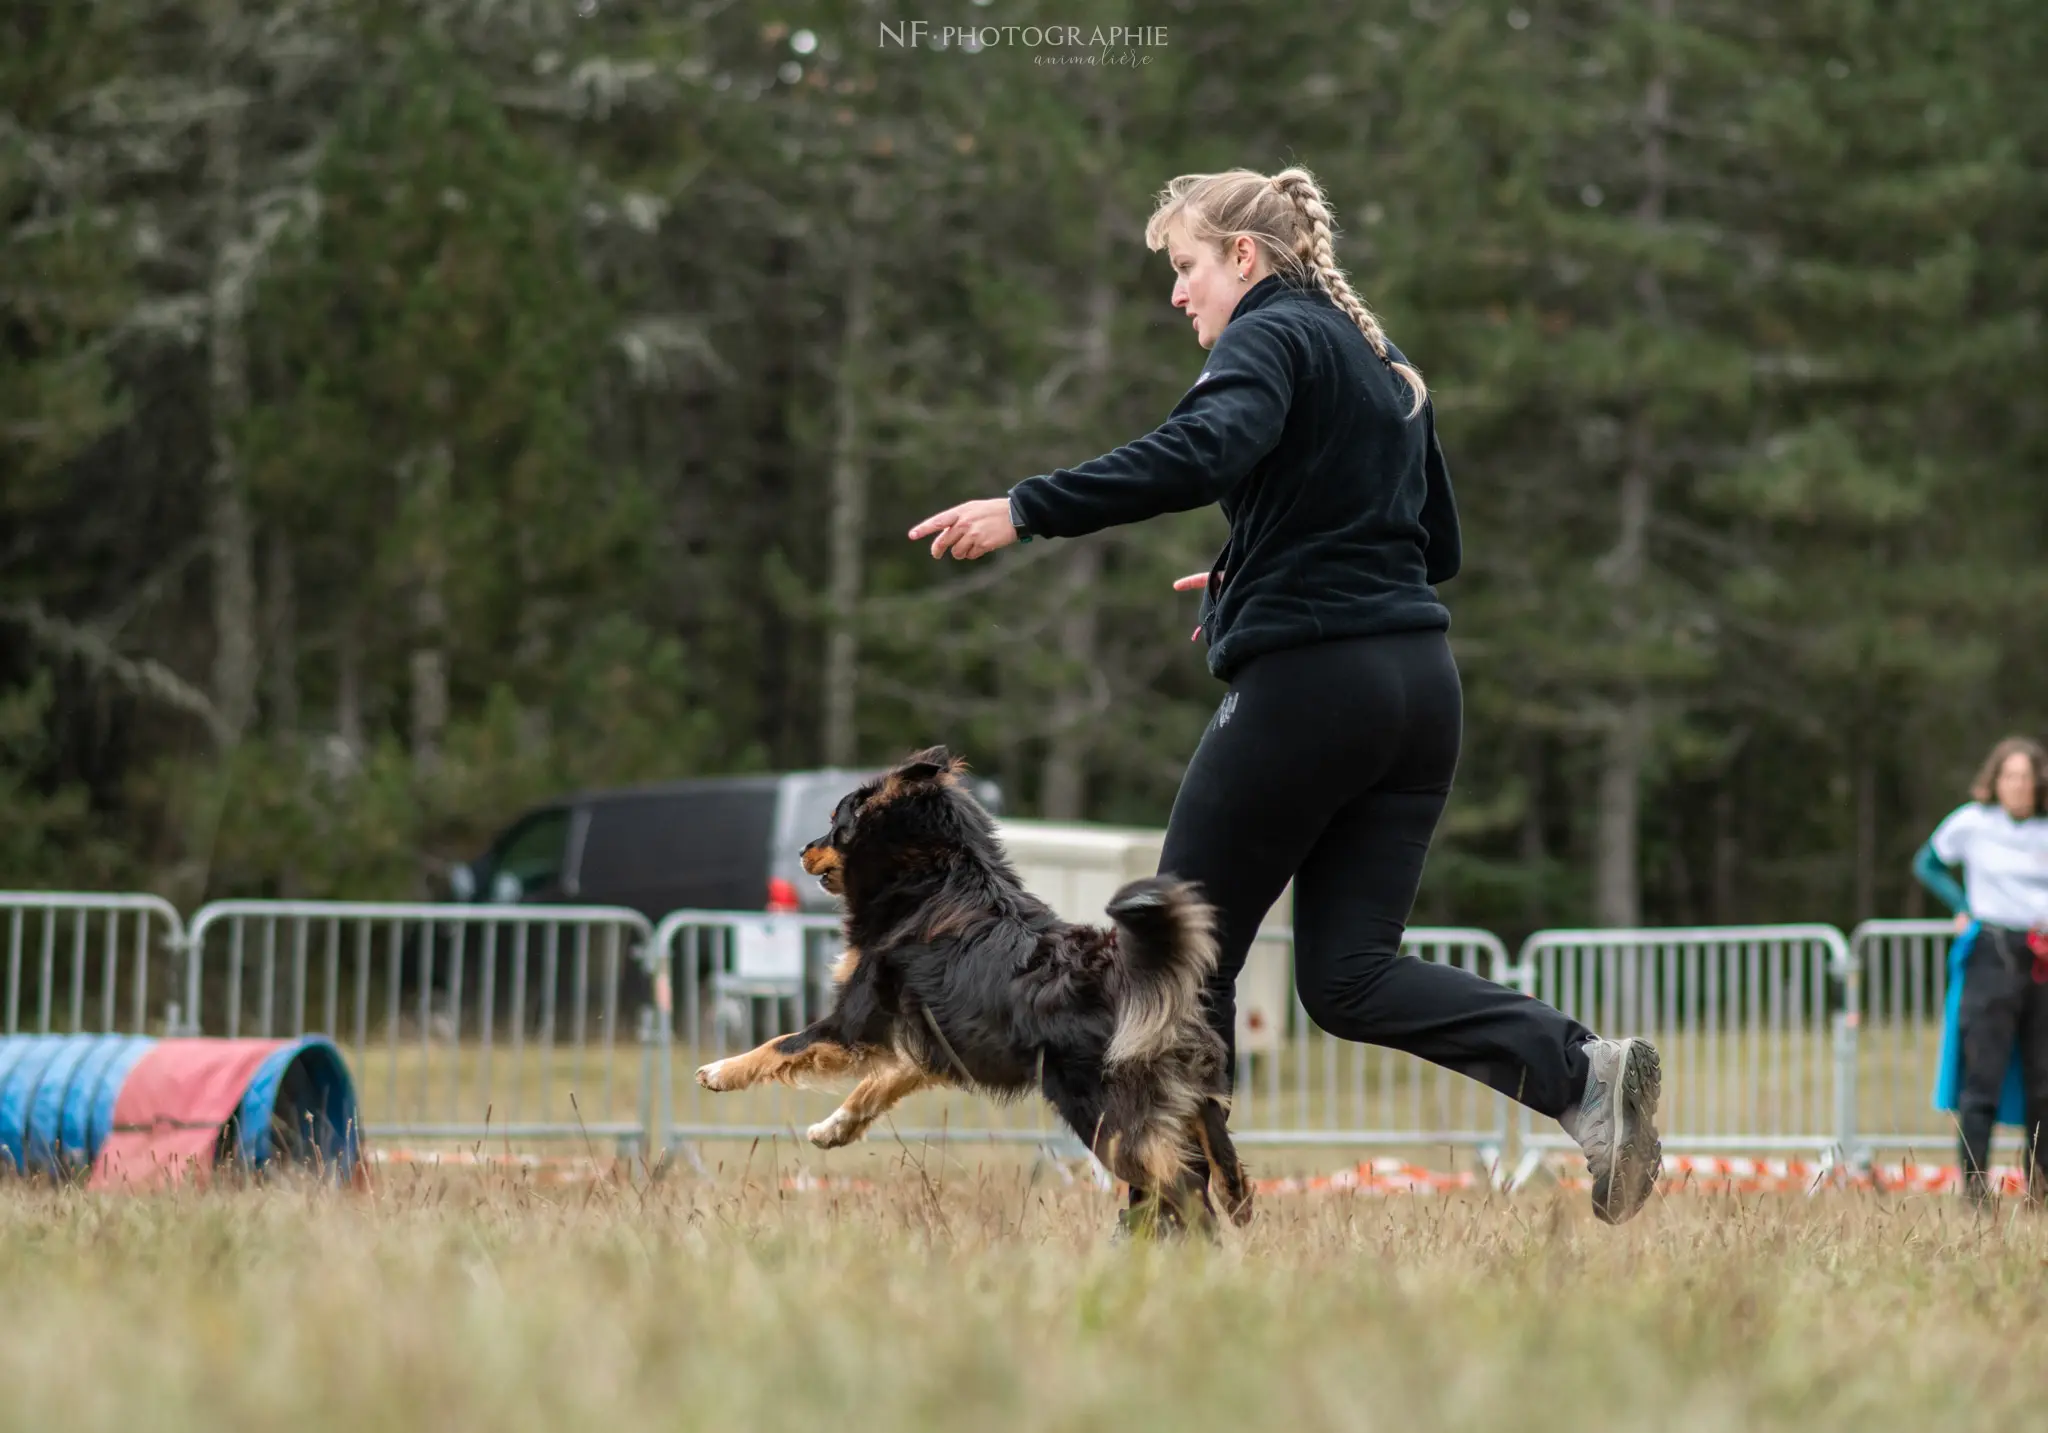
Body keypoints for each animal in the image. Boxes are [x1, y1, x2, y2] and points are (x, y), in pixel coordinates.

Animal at [696, 749, 1253, 1228]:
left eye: (838, 820)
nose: (802, 850)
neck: (932, 878)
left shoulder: (856, 1021)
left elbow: (782, 1044)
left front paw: (721, 1071)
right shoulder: (934, 1042)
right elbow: (879, 1083)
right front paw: (836, 1128)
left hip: (1105, 1120)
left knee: (1182, 1189)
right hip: (1188, 1094)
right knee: (1218, 1155)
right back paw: (1235, 1208)